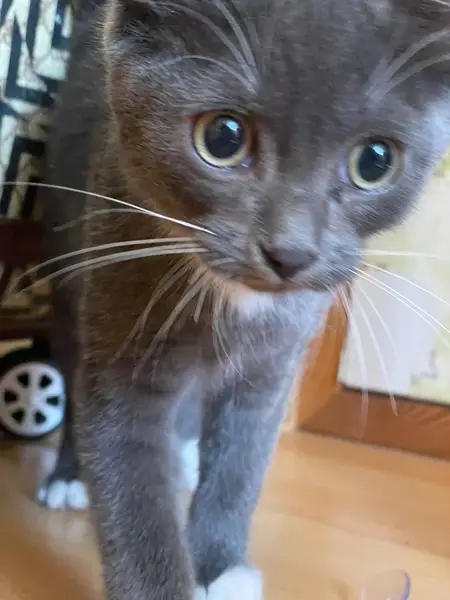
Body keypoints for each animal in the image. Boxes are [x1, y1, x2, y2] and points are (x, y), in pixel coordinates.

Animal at [36, 0, 450, 598]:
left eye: (375, 162)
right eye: (223, 137)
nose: (291, 251)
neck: (232, 301)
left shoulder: (274, 365)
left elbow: (240, 462)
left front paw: (219, 568)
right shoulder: (116, 319)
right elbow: (126, 478)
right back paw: (67, 475)